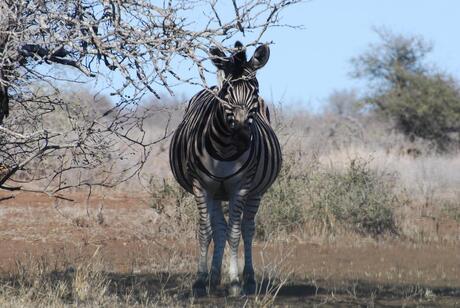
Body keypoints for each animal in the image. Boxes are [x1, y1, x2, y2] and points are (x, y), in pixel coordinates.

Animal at [171, 41, 282, 296]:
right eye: (226, 94)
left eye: (255, 92)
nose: (242, 138)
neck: (224, 150)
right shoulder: (201, 187)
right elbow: (205, 231)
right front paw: (200, 281)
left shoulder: (240, 188)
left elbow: (234, 232)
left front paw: (234, 282)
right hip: (214, 192)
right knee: (218, 228)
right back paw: (213, 278)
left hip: (255, 191)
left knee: (247, 228)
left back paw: (248, 279)